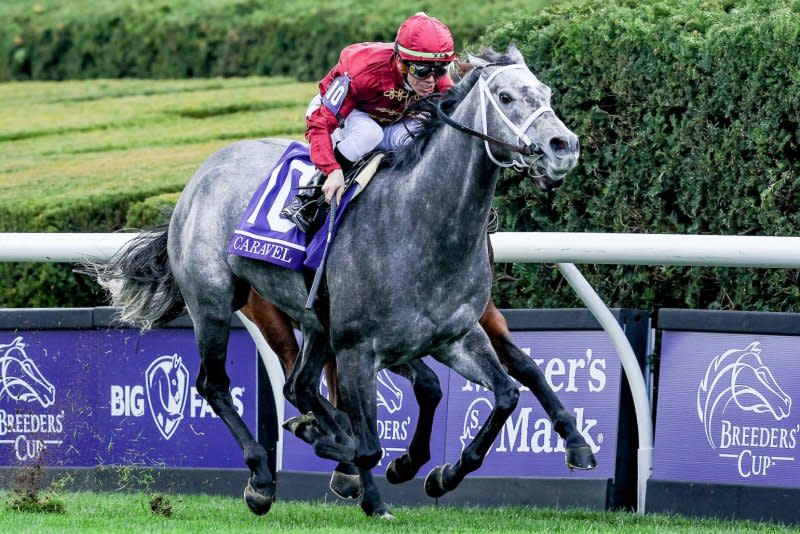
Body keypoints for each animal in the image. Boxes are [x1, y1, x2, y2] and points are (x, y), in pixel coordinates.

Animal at [90, 45, 584, 520]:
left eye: (546, 92)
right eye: (506, 97)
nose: (564, 146)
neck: (420, 224)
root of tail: (201, 174)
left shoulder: (454, 337)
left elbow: (505, 393)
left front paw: (441, 474)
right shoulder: (357, 350)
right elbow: (371, 441)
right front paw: (368, 484)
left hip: (314, 323)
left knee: (298, 386)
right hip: (215, 304)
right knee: (217, 385)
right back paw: (263, 477)